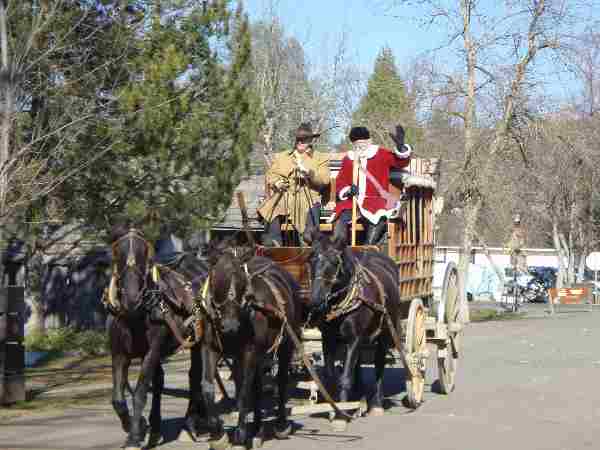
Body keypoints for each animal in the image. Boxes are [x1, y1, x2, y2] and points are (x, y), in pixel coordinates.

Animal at [108, 227, 209, 448]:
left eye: (145, 254)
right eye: (117, 253)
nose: (132, 299)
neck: (135, 316)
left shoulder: (152, 352)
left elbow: (139, 392)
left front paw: (134, 437)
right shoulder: (119, 354)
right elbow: (118, 398)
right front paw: (137, 426)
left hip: (198, 341)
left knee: (195, 375)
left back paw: (191, 422)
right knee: (160, 382)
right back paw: (155, 427)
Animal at [200, 244, 304, 448]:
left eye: (242, 282)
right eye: (217, 279)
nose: (230, 326)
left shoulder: (249, 352)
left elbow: (244, 392)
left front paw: (240, 434)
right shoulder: (211, 349)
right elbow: (207, 387)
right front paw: (218, 433)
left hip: (286, 344)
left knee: (281, 380)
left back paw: (280, 425)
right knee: (257, 385)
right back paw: (256, 426)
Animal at [308, 232, 406, 422]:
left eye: (334, 262)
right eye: (311, 259)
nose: (315, 299)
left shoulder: (354, 339)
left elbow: (345, 376)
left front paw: (341, 413)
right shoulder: (328, 338)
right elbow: (330, 375)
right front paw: (333, 406)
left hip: (385, 331)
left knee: (379, 364)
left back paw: (376, 403)